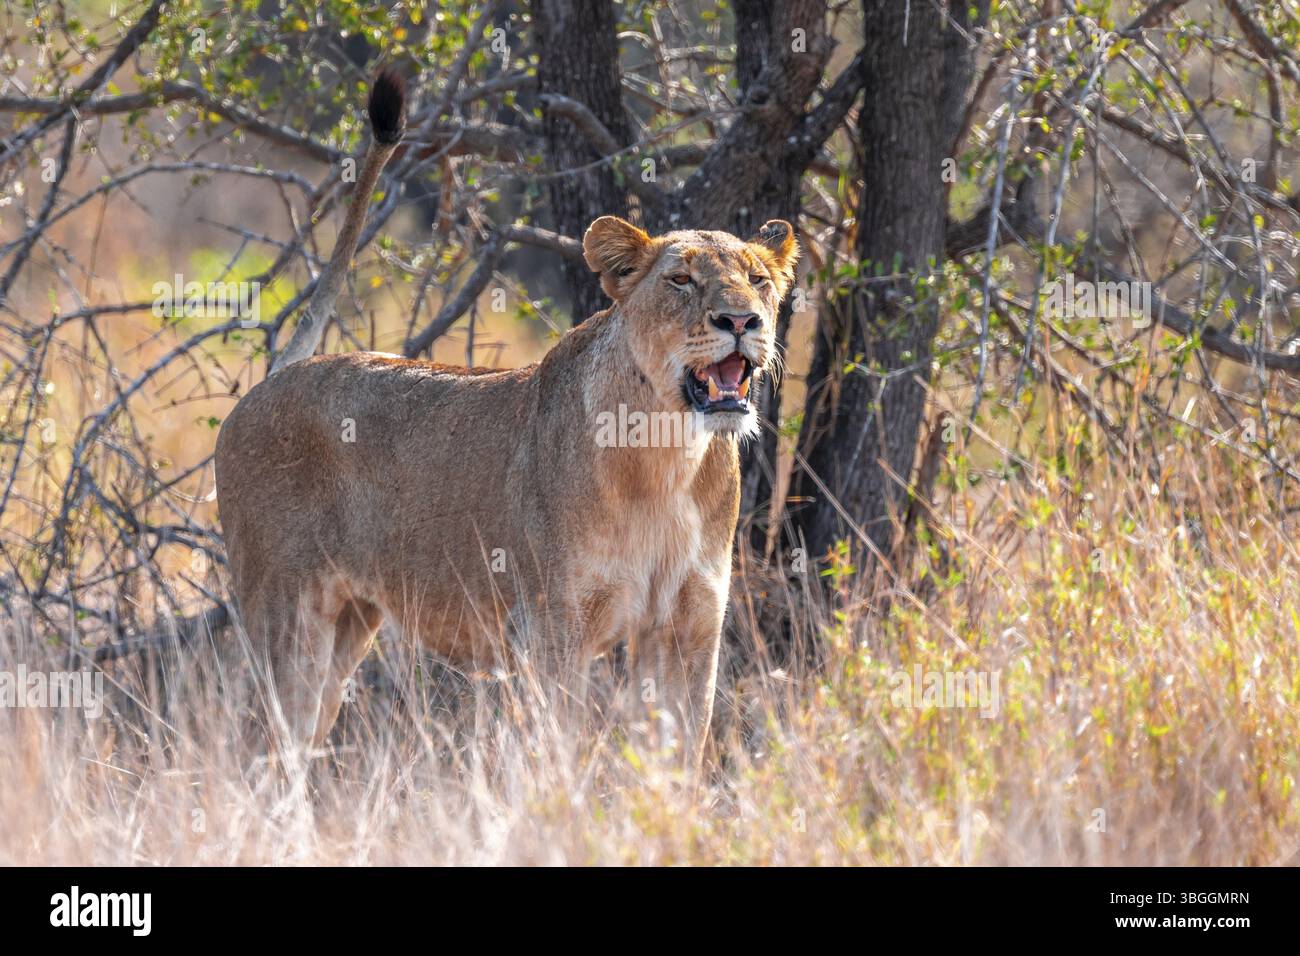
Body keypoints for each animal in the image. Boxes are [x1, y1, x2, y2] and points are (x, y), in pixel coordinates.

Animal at [214, 76, 798, 772]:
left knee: (296, 743)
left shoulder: (690, 625)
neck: (668, 454)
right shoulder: (556, 627)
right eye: (681, 280)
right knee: (257, 744)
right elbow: (561, 752)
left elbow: (675, 759)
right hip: (286, 613)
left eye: (758, 279)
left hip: (350, 624)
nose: (741, 320)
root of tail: (274, 378)